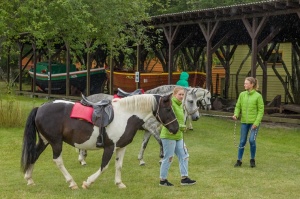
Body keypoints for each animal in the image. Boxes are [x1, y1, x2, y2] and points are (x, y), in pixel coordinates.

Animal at [20, 94, 178, 189]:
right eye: (168, 109)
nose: (175, 128)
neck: (125, 116)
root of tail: (40, 108)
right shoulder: (110, 147)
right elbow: (104, 166)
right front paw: (88, 182)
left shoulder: (121, 147)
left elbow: (119, 165)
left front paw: (119, 183)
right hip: (56, 142)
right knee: (58, 161)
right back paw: (72, 183)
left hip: (44, 140)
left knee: (34, 155)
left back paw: (29, 179)